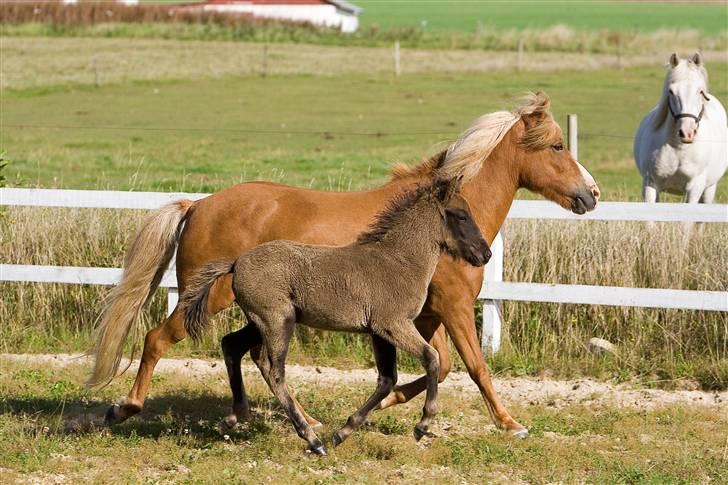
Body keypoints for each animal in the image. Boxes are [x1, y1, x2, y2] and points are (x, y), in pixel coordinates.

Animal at [89, 90, 596, 434]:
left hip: (263, 311)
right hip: (207, 299)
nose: (591, 194)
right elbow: (475, 368)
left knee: (249, 354)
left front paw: (388, 404)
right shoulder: (451, 307)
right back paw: (124, 408)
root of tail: (198, 205)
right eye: (556, 147)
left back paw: (287, 419)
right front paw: (510, 423)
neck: (429, 228)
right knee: (159, 339)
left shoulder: (424, 315)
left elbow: (442, 365)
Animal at [636, 52, 724, 203]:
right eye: (671, 91)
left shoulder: (694, 189)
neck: (678, 148)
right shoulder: (650, 185)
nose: (687, 133)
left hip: (709, 188)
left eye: (700, 92)